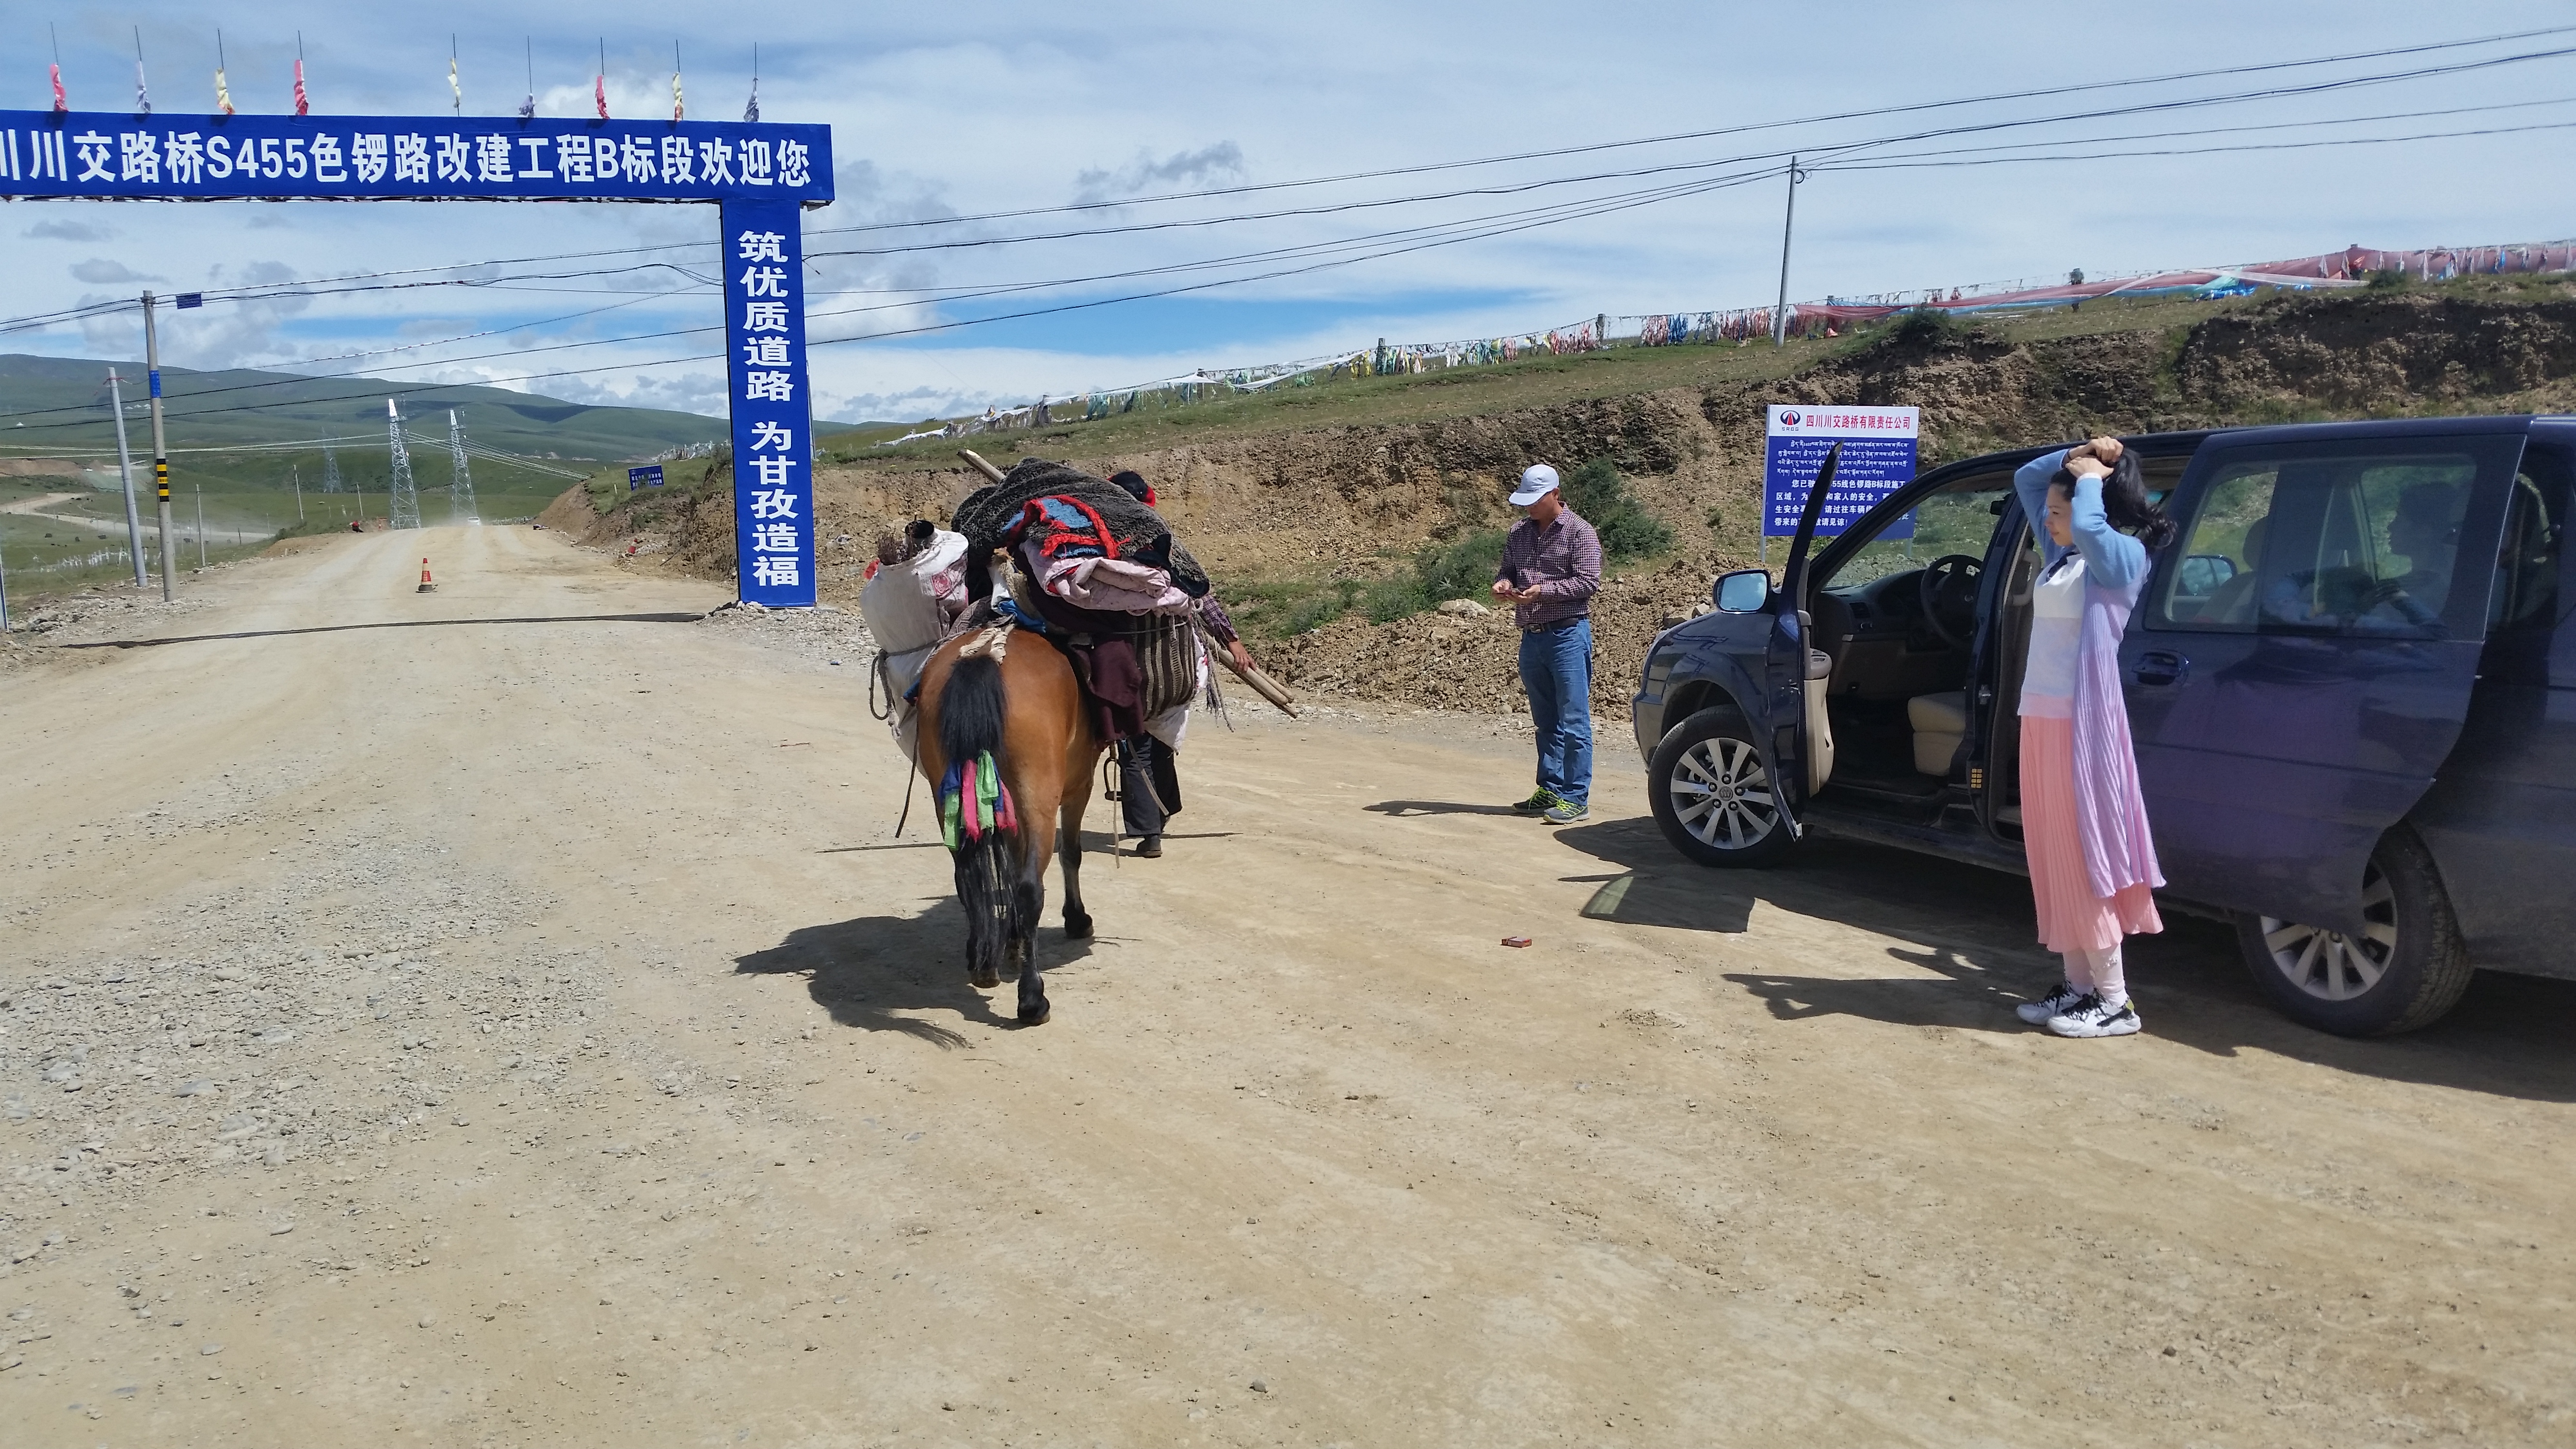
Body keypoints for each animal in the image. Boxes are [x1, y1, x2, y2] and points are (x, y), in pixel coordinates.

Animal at [917, 619, 1097, 1015]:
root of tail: (986, 654)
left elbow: (1011, 870)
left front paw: (1012, 943)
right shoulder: (1080, 786)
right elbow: (1070, 855)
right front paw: (1076, 919)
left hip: (947, 799)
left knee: (968, 878)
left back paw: (983, 963)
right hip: (1039, 799)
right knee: (1032, 888)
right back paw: (1032, 999)